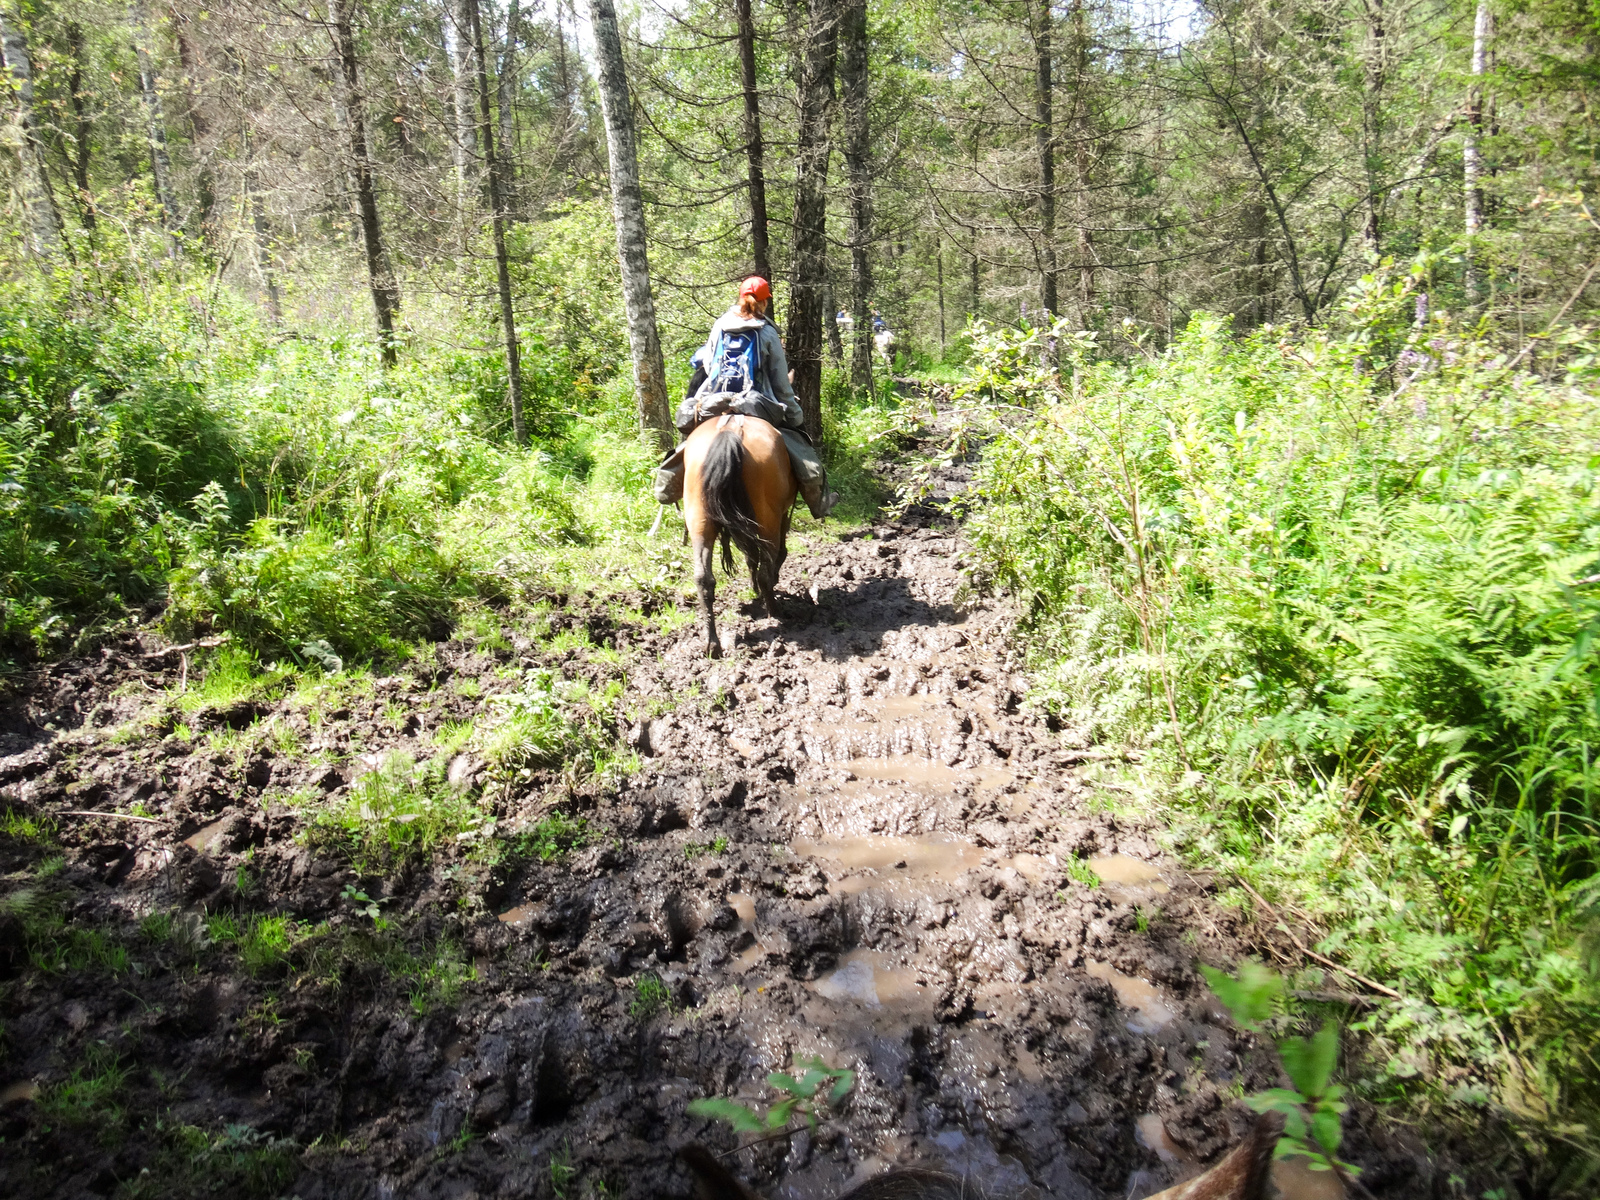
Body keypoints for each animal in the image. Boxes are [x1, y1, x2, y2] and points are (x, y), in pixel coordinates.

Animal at [681, 412, 800, 659]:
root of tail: (731, 430)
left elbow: (750, 556)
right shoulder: (781, 515)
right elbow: (775, 554)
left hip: (700, 523)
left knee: (703, 578)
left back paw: (712, 644)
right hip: (768, 521)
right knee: (766, 567)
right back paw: (775, 611)